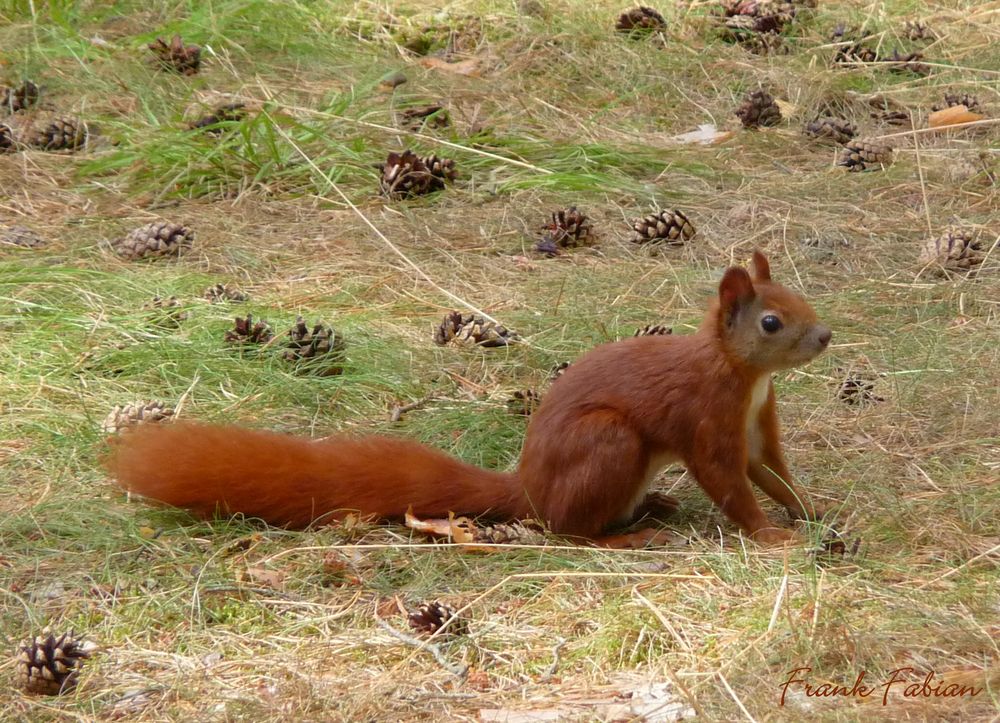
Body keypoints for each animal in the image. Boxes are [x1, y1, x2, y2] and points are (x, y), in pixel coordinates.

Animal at [105, 252, 832, 544]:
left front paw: (811, 511)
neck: (743, 375)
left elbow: (770, 471)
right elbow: (729, 482)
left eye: (801, 296)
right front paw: (772, 537)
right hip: (607, 441)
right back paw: (634, 537)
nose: (825, 336)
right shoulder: (707, 415)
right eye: (771, 322)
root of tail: (528, 488)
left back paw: (652, 505)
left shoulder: (758, 422)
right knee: (570, 531)